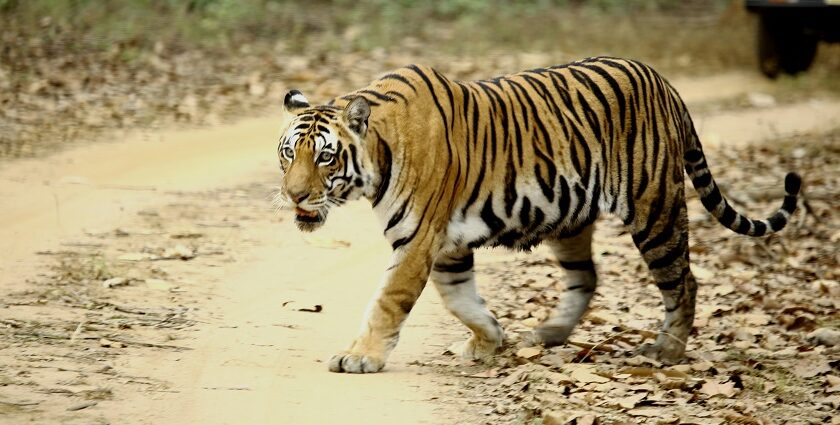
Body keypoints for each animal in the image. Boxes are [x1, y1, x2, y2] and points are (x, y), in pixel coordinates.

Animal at [274, 55, 800, 372]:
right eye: (288, 154)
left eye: (325, 158)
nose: (294, 195)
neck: (379, 155)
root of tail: (662, 80)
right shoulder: (446, 245)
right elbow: (461, 299)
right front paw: (489, 341)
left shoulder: (418, 240)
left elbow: (388, 301)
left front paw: (359, 357)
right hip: (570, 216)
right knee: (586, 276)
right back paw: (548, 333)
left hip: (655, 210)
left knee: (683, 280)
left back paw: (667, 349)